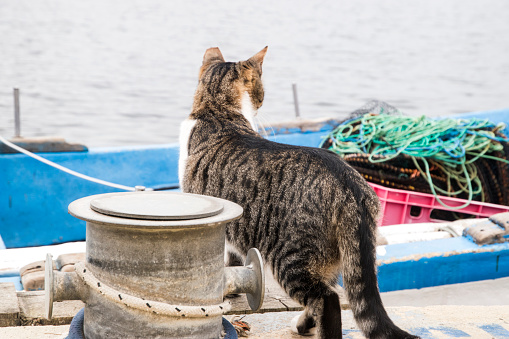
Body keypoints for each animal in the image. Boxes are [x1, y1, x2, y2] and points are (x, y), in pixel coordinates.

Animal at [178, 47, 416, 339]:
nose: (260, 103)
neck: (218, 111)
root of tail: (349, 185)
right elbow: (232, 262)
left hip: (291, 256)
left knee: (327, 299)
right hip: (331, 257)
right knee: (327, 292)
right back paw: (303, 324)